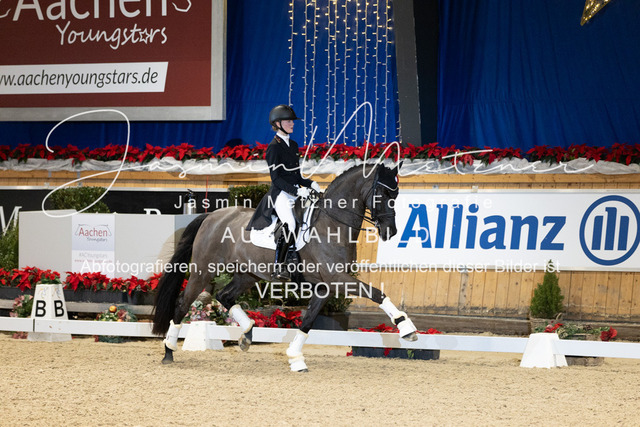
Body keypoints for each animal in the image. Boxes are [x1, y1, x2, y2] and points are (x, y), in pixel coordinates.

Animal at [152, 162, 418, 372]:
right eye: (381, 193)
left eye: (396, 194)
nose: (390, 231)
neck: (331, 225)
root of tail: (211, 216)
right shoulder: (337, 279)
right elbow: (377, 293)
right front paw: (406, 328)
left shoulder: (325, 287)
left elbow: (307, 322)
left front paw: (295, 359)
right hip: (203, 270)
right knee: (183, 303)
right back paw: (168, 351)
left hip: (248, 274)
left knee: (224, 295)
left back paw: (247, 333)